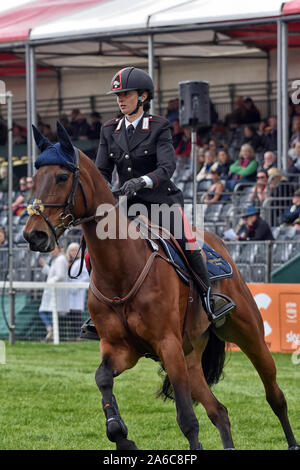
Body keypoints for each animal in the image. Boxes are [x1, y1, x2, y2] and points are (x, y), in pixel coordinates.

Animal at [22, 123, 298, 450]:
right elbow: (102, 379)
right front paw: (120, 435)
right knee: (219, 411)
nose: (34, 235)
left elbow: (187, 420)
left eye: (62, 177)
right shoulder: (121, 348)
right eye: (35, 178)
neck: (122, 269)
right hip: (190, 356)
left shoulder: (168, 345)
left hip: (247, 334)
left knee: (274, 395)